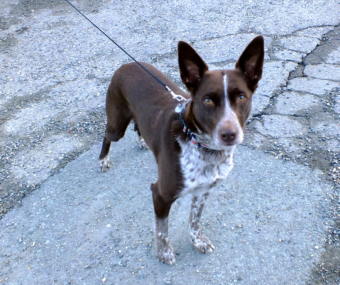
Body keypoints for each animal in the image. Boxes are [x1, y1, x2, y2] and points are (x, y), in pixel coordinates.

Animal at [99, 36, 264, 264]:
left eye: (241, 97)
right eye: (207, 100)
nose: (229, 134)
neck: (201, 145)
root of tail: (125, 65)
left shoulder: (204, 189)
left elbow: (194, 219)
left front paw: (197, 241)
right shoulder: (160, 194)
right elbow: (162, 229)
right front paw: (164, 252)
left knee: (137, 126)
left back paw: (142, 141)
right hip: (117, 123)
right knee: (107, 135)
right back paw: (103, 159)